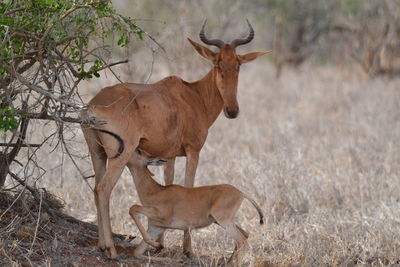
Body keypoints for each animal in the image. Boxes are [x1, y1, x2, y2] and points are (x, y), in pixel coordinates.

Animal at [129, 150, 266, 266]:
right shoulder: (155, 228)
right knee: (245, 234)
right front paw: (166, 254)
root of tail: (241, 193)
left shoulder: (160, 217)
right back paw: (228, 262)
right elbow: (136, 252)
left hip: (223, 221)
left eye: (139, 151)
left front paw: (160, 246)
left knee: (242, 241)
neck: (157, 191)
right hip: (220, 221)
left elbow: (133, 208)